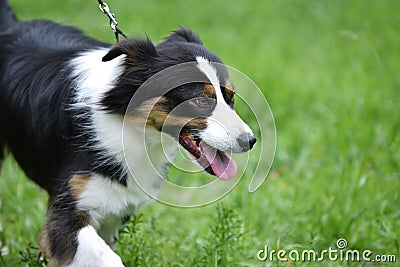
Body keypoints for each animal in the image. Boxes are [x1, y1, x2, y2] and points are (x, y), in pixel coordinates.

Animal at [0, 1, 256, 266]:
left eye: (231, 98)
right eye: (201, 101)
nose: (250, 141)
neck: (131, 126)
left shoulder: (115, 207)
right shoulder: (69, 208)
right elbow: (105, 256)